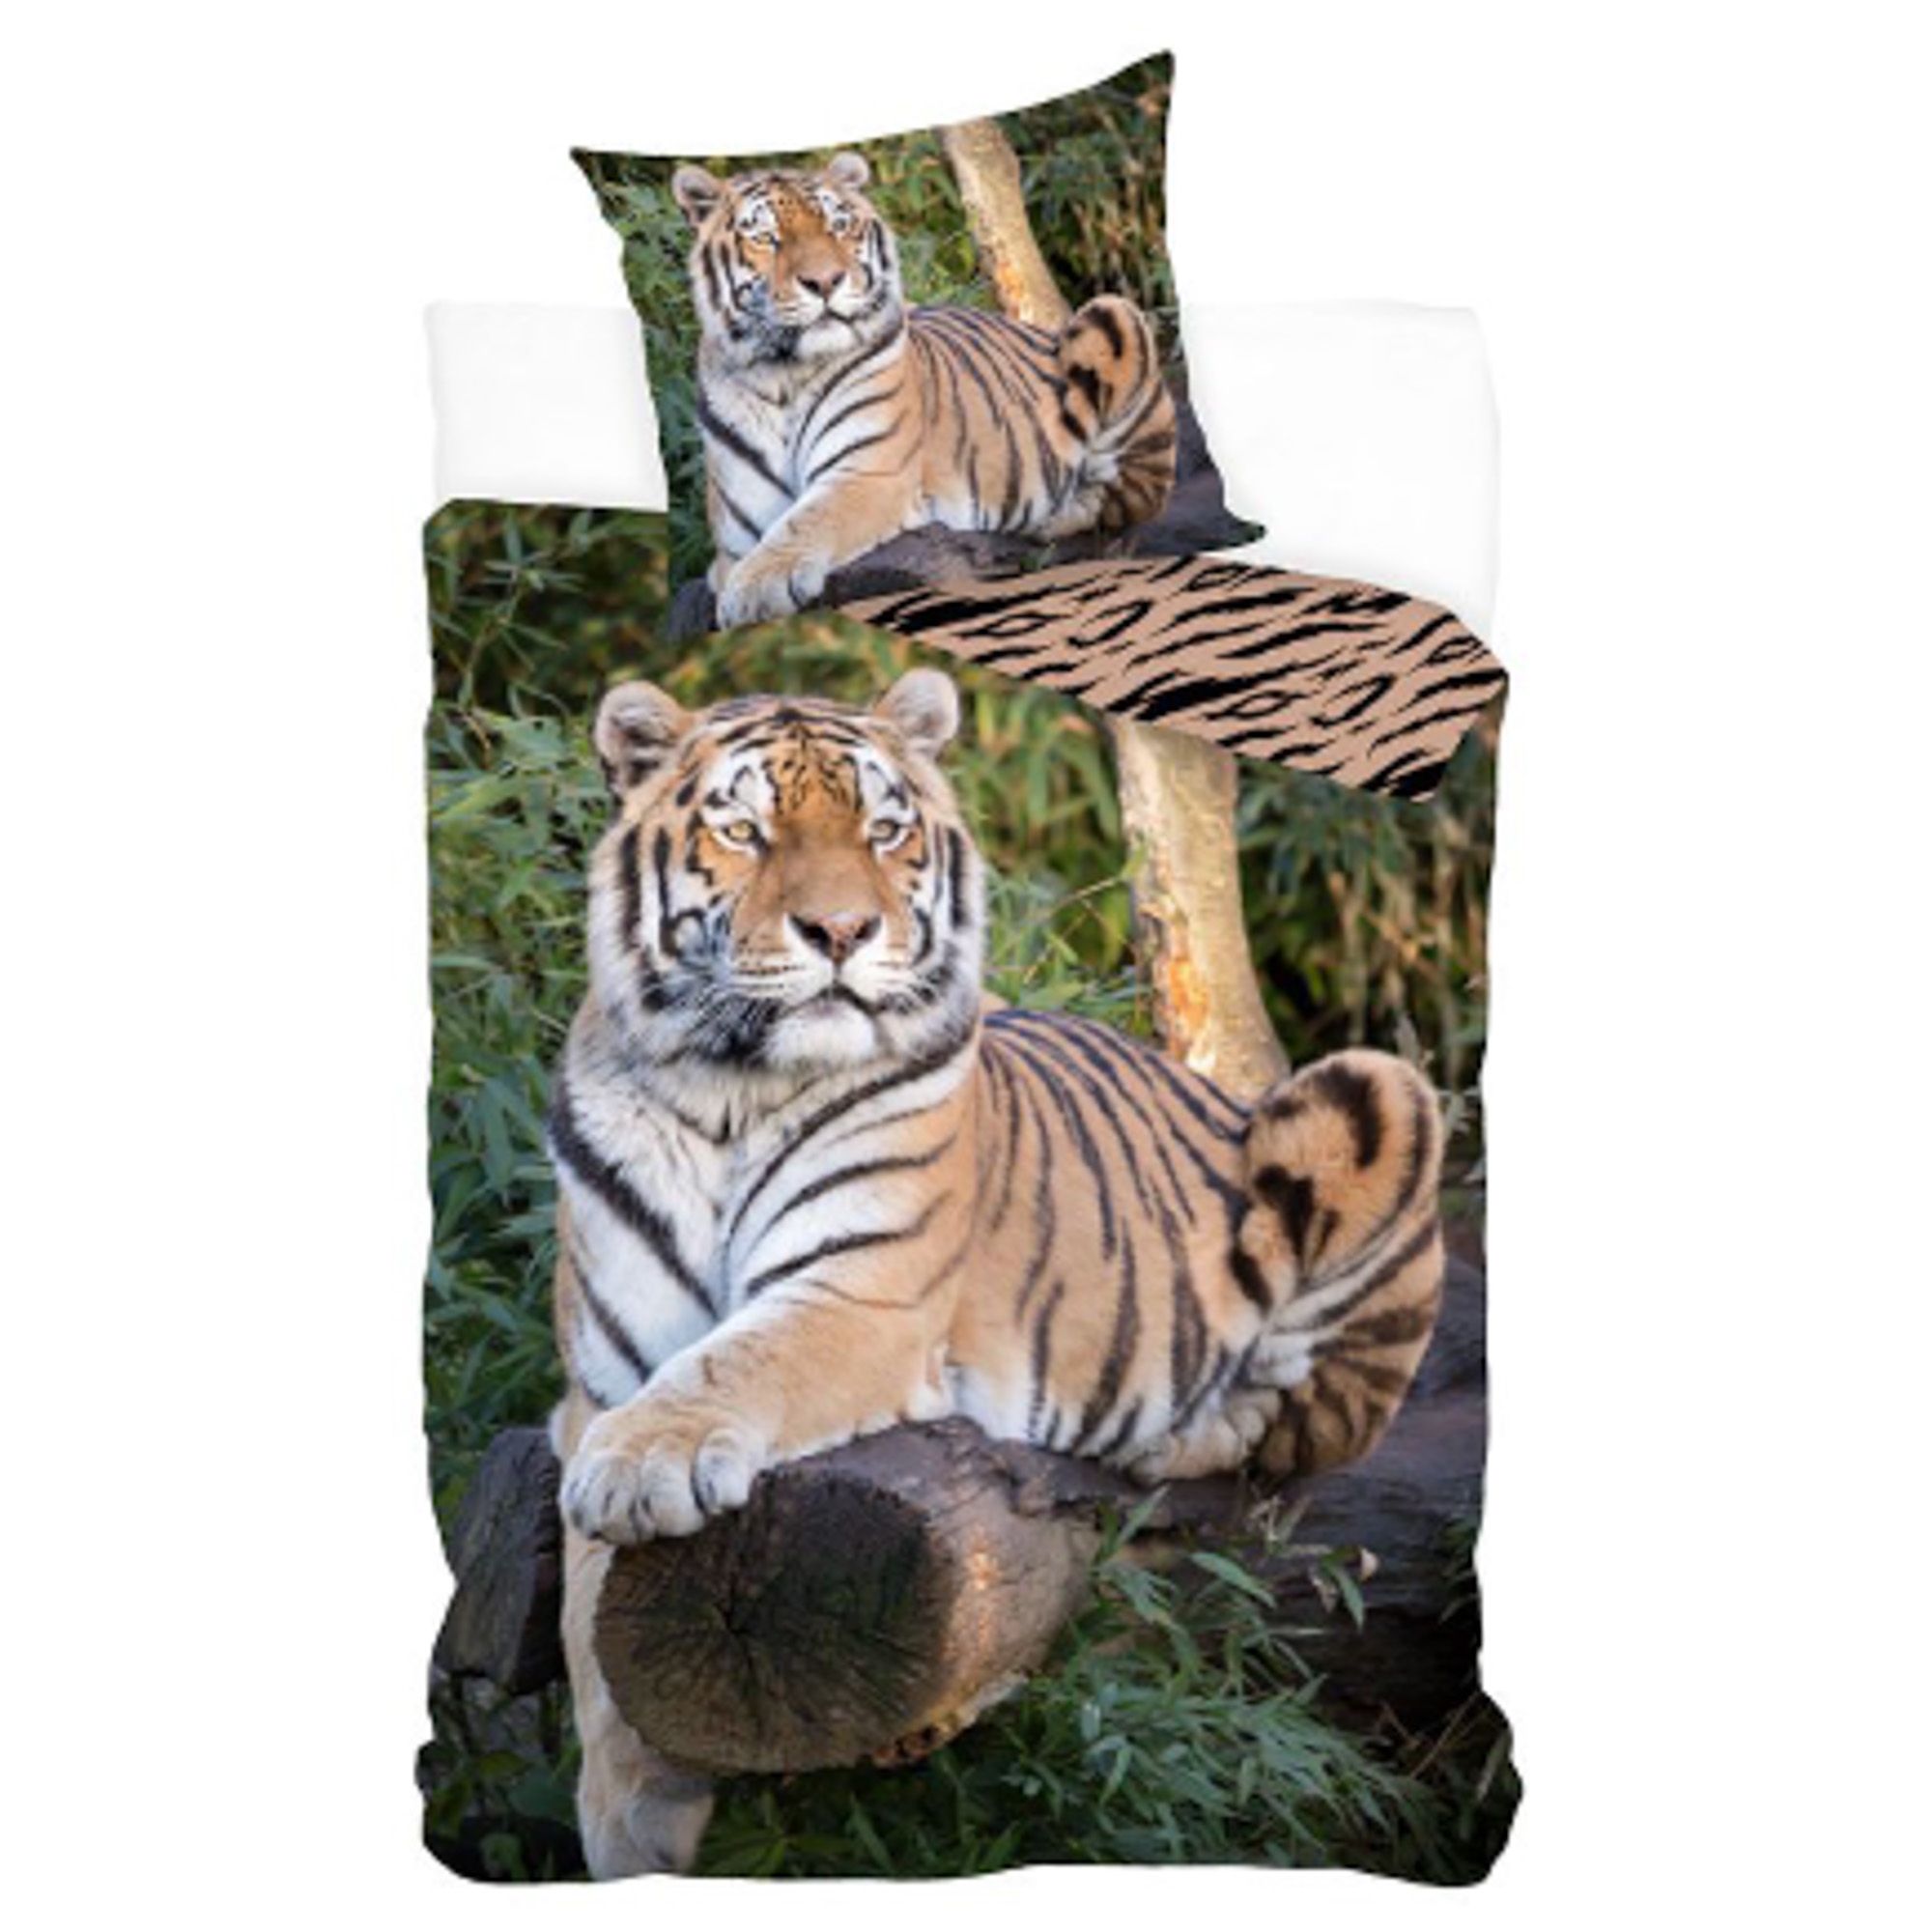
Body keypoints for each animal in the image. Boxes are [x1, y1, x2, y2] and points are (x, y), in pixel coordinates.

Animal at [548, 666, 1446, 1877]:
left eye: (882, 830)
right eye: (744, 831)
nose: (841, 928)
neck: (726, 1087)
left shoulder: (859, 1294)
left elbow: (730, 1367)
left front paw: (641, 1466)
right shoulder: (594, 1378)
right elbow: (582, 1613)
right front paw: (628, 1819)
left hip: (1375, 1088)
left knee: (1305, 1425)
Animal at [670, 150, 1179, 629]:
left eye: (839, 227)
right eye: (765, 238)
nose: (826, 282)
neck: (783, 375)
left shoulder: (868, 474)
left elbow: (805, 523)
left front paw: (755, 590)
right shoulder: (738, 526)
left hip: (1114, 315)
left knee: (1136, 495)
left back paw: (1051, 519)